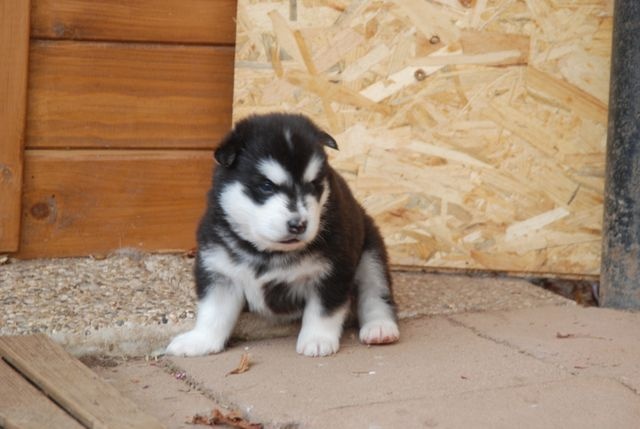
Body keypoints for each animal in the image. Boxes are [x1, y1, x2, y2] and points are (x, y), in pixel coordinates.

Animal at [166, 113, 399, 357]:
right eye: (267, 186)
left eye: (313, 185)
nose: (299, 225)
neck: (269, 253)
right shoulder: (219, 269)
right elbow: (214, 311)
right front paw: (200, 340)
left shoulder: (332, 272)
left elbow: (323, 311)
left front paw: (317, 339)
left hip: (371, 253)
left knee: (375, 293)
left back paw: (380, 328)